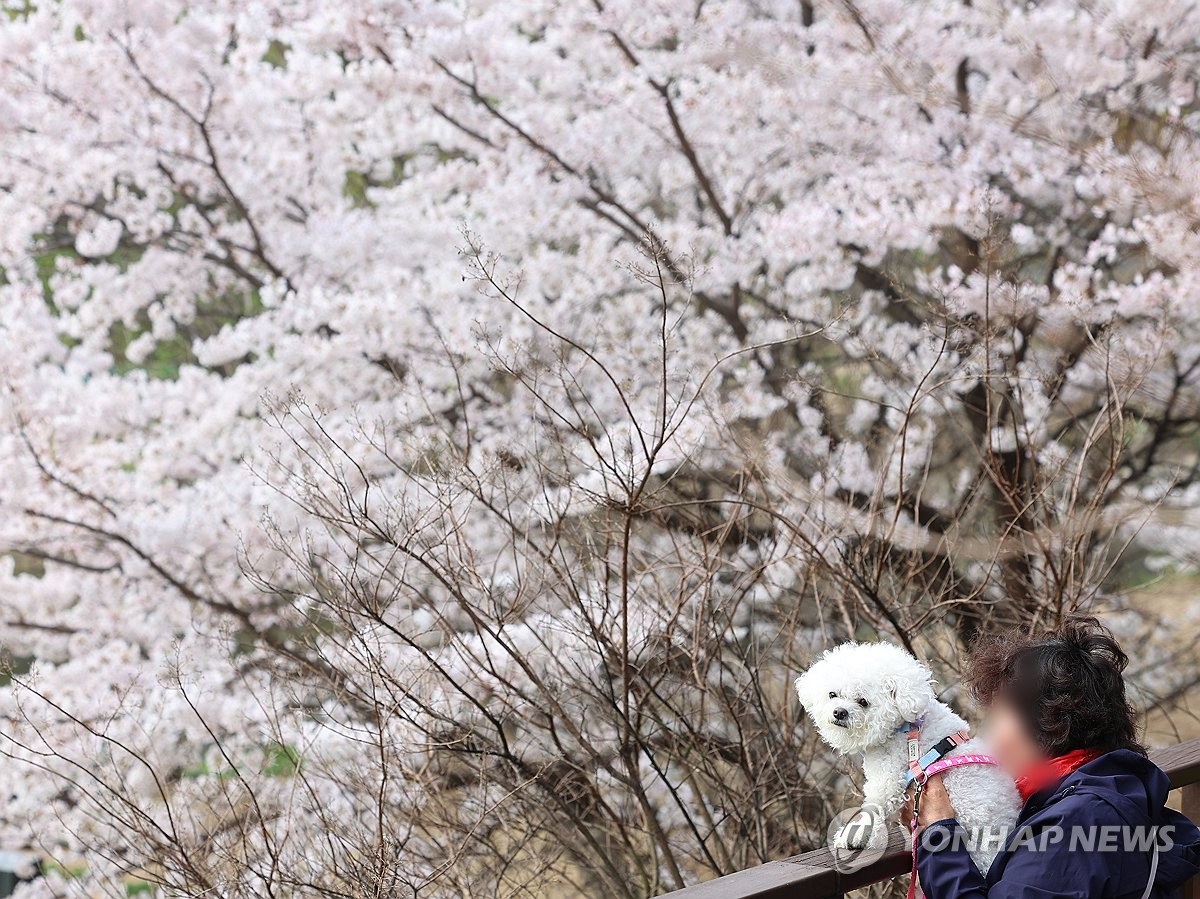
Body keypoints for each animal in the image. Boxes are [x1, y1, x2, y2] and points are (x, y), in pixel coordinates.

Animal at [796, 643, 1022, 873]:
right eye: (832, 694)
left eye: (863, 702)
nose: (839, 712)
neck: (906, 728)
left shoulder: (888, 778)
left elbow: (873, 809)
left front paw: (855, 836)